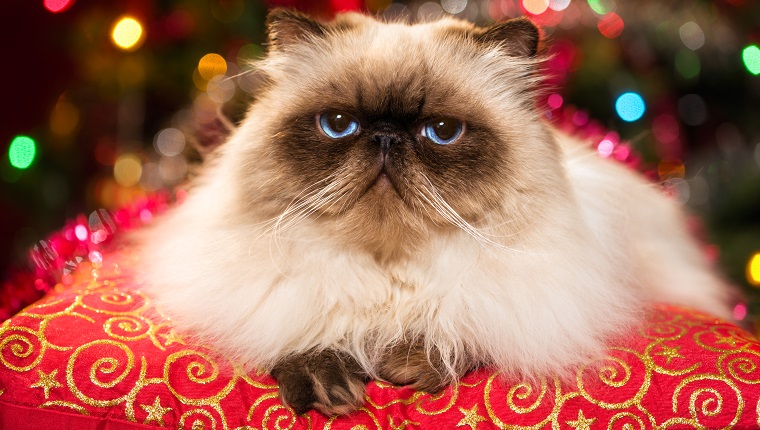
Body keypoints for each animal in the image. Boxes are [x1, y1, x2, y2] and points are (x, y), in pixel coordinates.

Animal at [138, 7, 736, 416]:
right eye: (338, 125)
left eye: (442, 132)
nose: (384, 137)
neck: (387, 269)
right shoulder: (266, 292)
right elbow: (296, 324)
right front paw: (329, 385)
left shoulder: (534, 300)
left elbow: (465, 322)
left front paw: (409, 363)